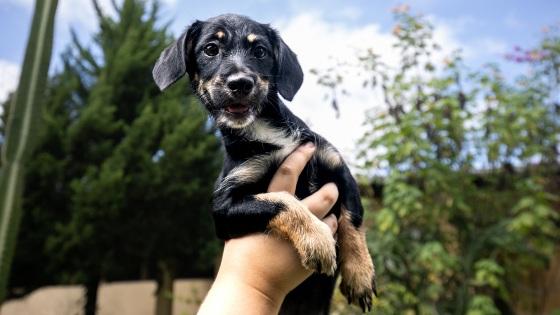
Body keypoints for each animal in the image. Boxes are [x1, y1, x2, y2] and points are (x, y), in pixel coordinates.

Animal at [152, 14, 376, 314]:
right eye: (210, 49)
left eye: (259, 51)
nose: (240, 83)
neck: (265, 131)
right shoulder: (223, 208)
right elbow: (280, 199)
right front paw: (317, 239)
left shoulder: (340, 170)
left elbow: (353, 219)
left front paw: (360, 275)